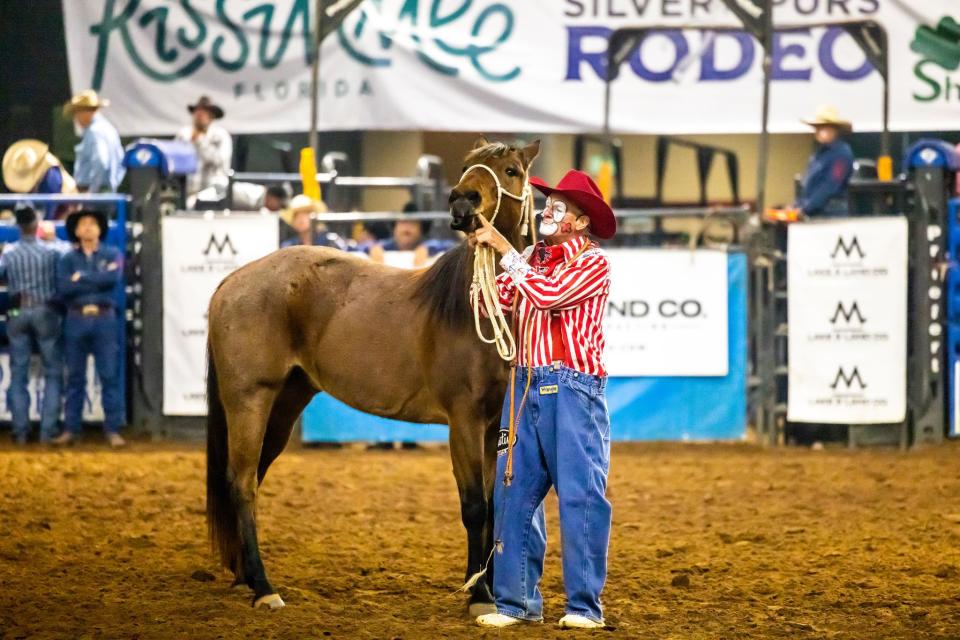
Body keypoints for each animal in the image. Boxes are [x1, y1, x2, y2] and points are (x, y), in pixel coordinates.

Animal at [205, 138, 540, 612]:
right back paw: (265, 588)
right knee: (242, 484)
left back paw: (245, 577)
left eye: (511, 170)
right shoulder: (463, 421)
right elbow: (474, 506)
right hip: (249, 400)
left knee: (249, 479)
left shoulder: (493, 423)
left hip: (285, 403)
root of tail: (232, 282)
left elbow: (493, 506)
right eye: (465, 166)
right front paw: (479, 596)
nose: (461, 202)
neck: (473, 306)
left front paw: (486, 589)